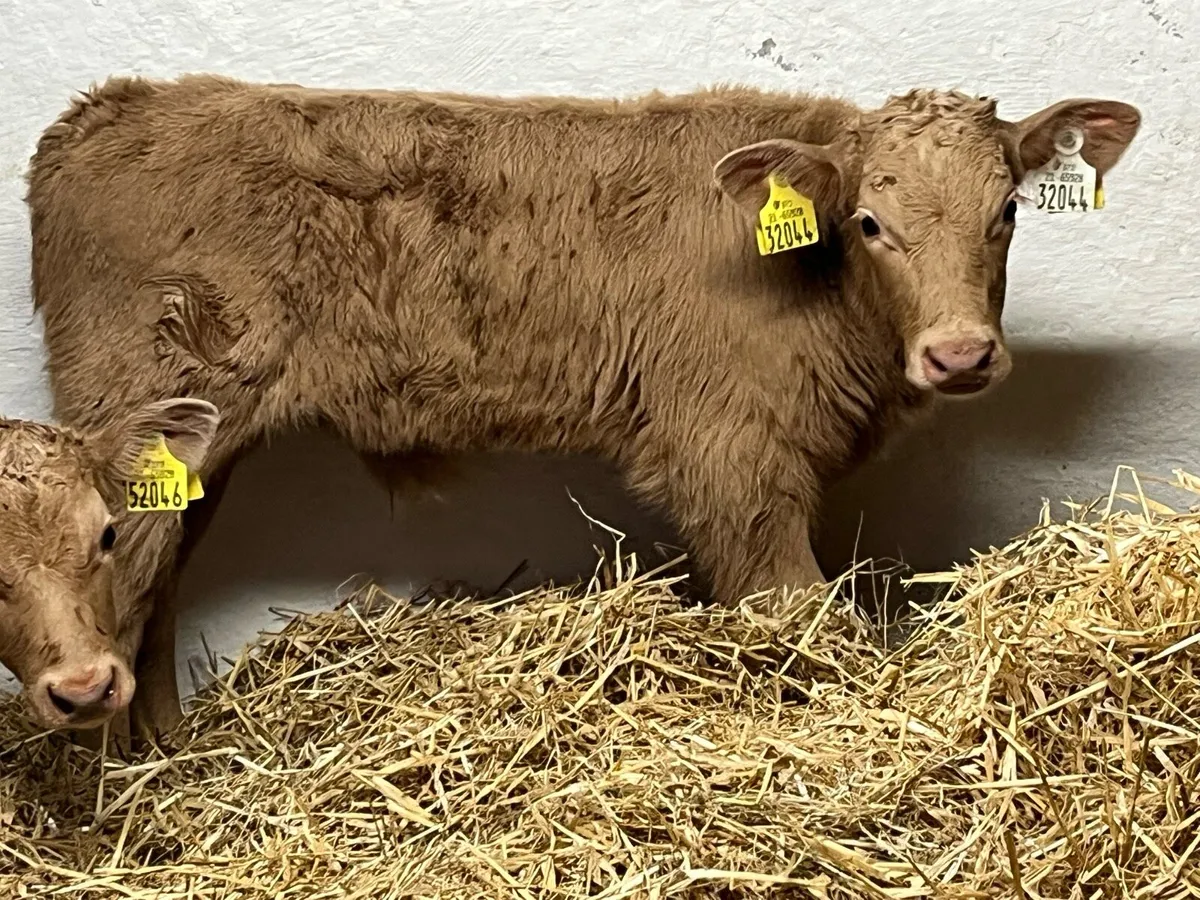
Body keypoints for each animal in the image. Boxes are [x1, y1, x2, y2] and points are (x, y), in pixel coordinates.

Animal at [8, 74, 1139, 737]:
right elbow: (791, 607)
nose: (960, 354)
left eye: (1005, 212)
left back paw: (173, 753)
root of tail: (107, 107)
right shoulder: (734, 461)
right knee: (130, 596)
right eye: (869, 222)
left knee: (151, 605)